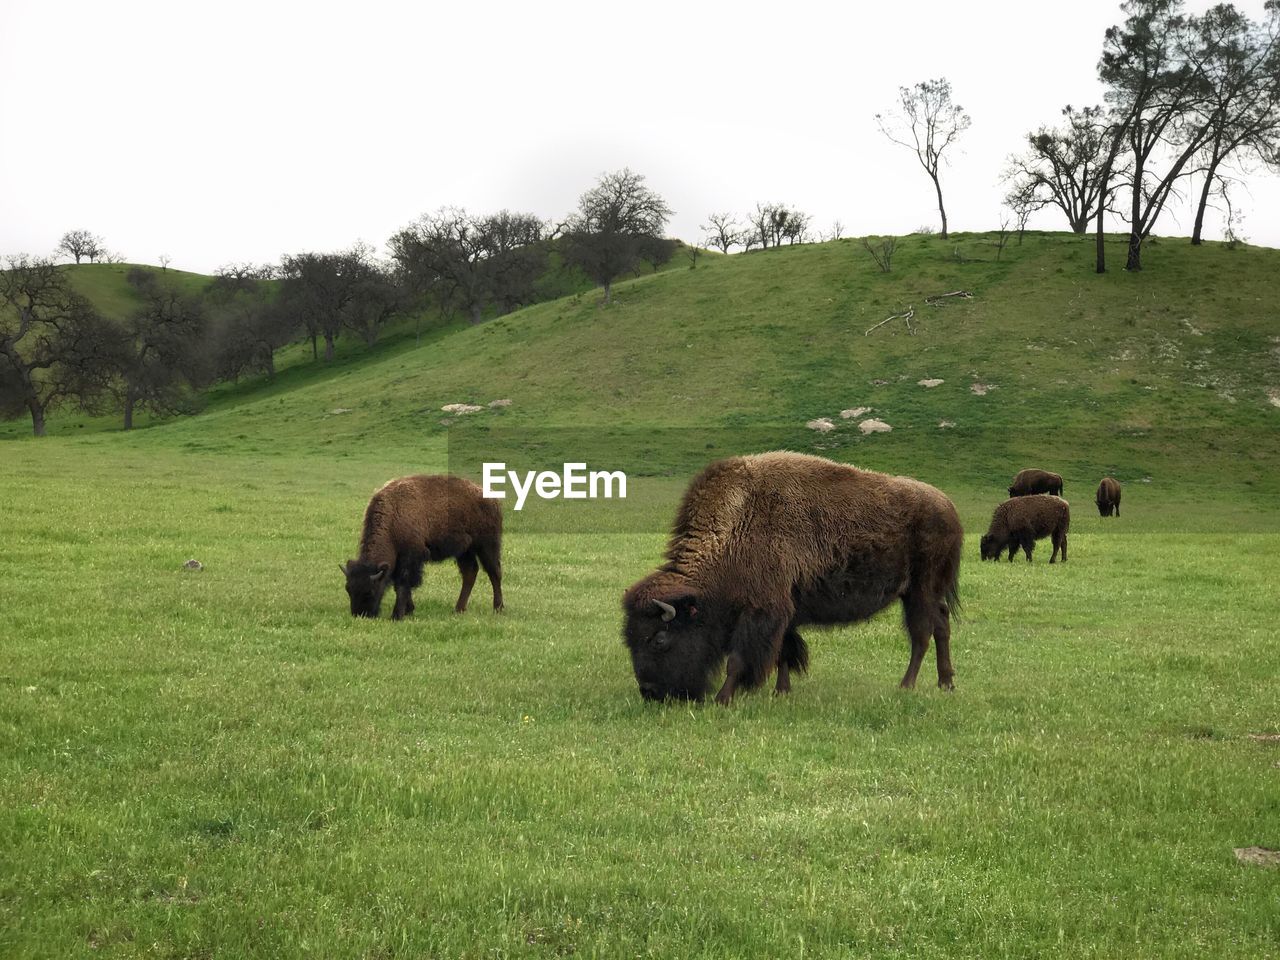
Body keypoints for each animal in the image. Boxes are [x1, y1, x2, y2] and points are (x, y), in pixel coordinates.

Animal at [340, 476, 504, 624]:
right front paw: (409, 610)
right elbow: (400, 585)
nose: (360, 615)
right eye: (348, 589)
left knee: (494, 573)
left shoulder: (411, 558)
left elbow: (402, 584)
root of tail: (492, 499)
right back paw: (459, 609)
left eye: (370, 591)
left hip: (487, 545)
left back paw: (498, 608)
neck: (393, 518)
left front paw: (397, 616)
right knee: (470, 572)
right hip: (465, 551)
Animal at [619, 450, 962, 706]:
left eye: (659, 639)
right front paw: (781, 692)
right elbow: (784, 651)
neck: (735, 529)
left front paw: (723, 699)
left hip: (920, 590)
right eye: (630, 639)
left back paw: (906, 686)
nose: (649, 692)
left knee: (922, 634)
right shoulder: (784, 610)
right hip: (924, 593)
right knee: (941, 624)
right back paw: (946, 683)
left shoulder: (762, 610)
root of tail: (949, 507)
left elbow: (739, 659)